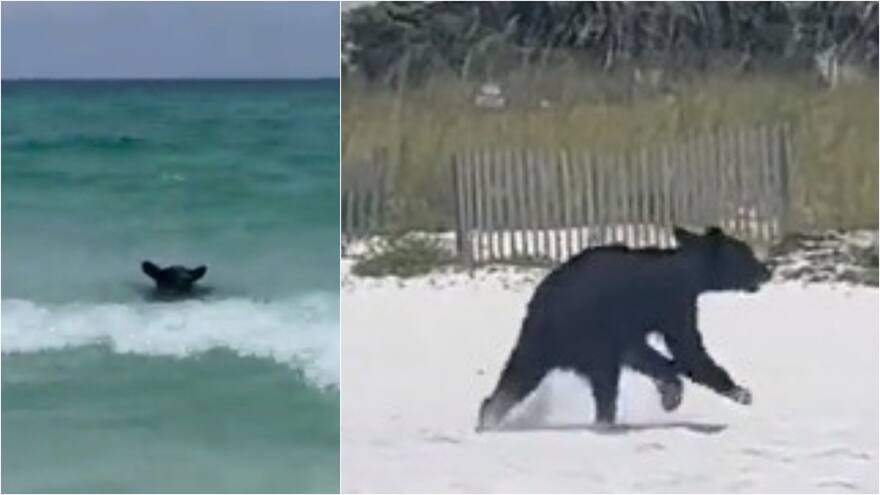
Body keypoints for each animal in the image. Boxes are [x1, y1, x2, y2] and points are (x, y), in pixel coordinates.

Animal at [477, 226, 770, 430]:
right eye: (745, 253)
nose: (766, 271)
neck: (684, 277)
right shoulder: (660, 306)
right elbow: (685, 348)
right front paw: (738, 391)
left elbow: (666, 351)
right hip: (579, 334)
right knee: (603, 379)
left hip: (539, 343)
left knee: (518, 375)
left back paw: (488, 415)